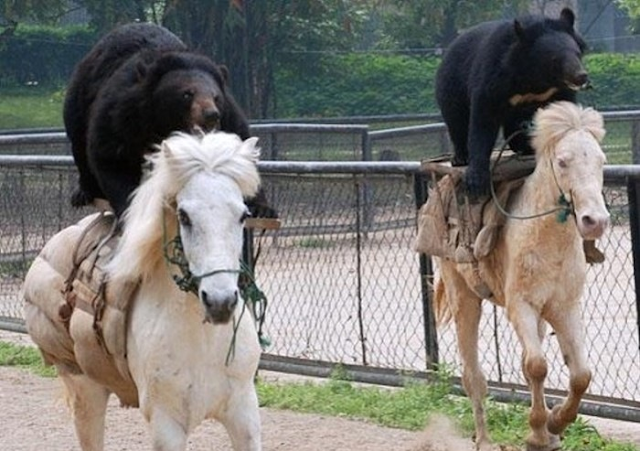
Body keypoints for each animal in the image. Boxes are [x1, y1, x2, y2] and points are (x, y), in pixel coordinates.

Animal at [23, 131, 263, 451]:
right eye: (184, 216)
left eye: (242, 215)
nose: (220, 301)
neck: (202, 341)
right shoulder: (167, 424)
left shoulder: (243, 413)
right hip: (85, 389)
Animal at [432, 101, 609, 451]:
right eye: (562, 161)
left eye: (600, 161)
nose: (595, 220)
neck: (545, 239)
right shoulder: (520, 307)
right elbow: (537, 366)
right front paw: (541, 429)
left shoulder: (564, 308)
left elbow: (580, 374)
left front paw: (555, 425)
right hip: (464, 298)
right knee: (473, 375)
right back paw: (485, 440)